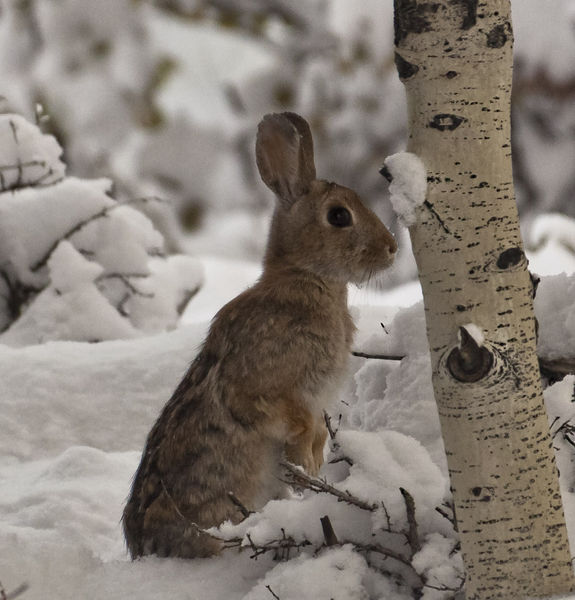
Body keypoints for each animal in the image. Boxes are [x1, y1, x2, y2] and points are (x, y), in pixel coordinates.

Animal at [123, 111, 398, 556]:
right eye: (339, 216)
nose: (392, 248)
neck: (307, 277)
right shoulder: (265, 387)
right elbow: (290, 419)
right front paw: (308, 464)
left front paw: (316, 464)